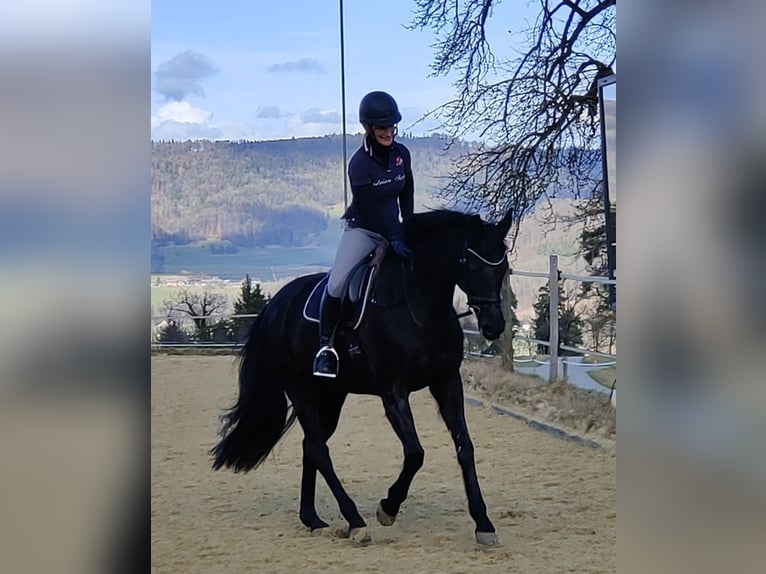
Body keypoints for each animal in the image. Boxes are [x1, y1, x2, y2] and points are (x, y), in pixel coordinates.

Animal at [211, 208, 513, 546]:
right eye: (471, 265)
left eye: (504, 268)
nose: (493, 327)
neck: (418, 307)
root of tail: (275, 304)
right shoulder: (393, 392)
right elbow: (415, 453)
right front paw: (388, 508)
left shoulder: (447, 383)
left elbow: (465, 449)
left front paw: (483, 524)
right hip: (301, 389)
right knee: (319, 449)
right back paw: (355, 521)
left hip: (331, 395)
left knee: (311, 446)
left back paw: (313, 519)